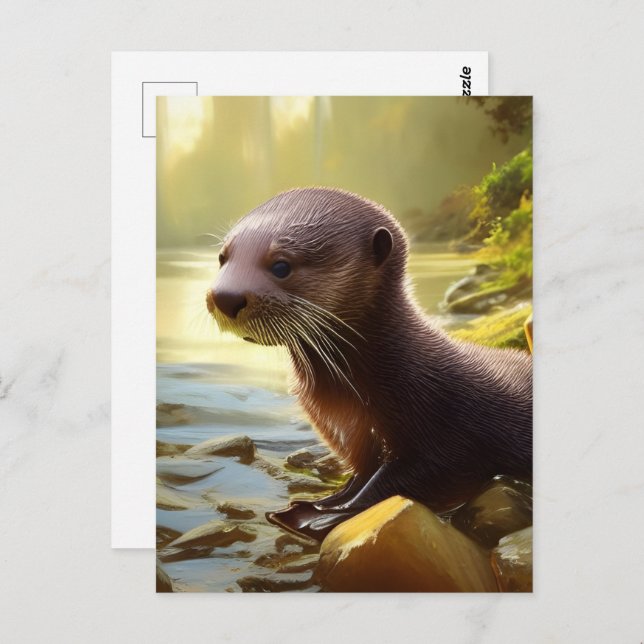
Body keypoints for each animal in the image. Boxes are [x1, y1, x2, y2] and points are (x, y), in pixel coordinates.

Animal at [206, 188, 532, 541]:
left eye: (281, 266)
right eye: (223, 257)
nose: (224, 296)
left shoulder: (449, 432)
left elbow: (411, 481)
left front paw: (320, 518)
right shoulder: (356, 439)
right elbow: (360, 478)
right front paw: (326, 503)